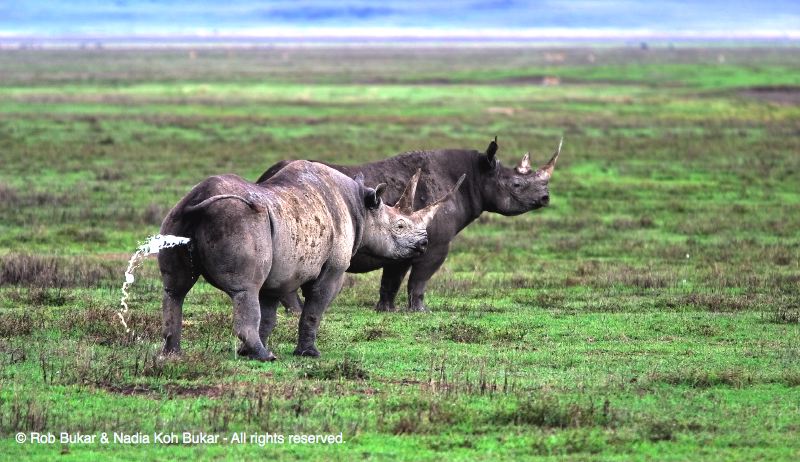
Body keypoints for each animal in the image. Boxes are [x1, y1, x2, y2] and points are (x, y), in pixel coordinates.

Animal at [156, 161, 462, 360]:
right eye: (399, 226)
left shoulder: (279, 272)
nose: (423, 243)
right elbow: (314, 309)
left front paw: (245, 353)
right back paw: (266, 357)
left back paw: (173, 354)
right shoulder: (334, 269)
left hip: (178, 215)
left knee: (175, 290)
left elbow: (269, 314)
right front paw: (308, 353)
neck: (362, 208)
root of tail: (198, 201)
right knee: (245, 290)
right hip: (240, 219)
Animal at [260, 135, 560, 312]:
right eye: (517, 185)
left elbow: (392, 280)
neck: (476, 176)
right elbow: (420, 280)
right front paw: (421, 311)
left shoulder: (407, 244)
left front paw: (386, 310)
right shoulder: (435, 244)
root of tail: (266, 177)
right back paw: (297, 311)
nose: (545, 198)